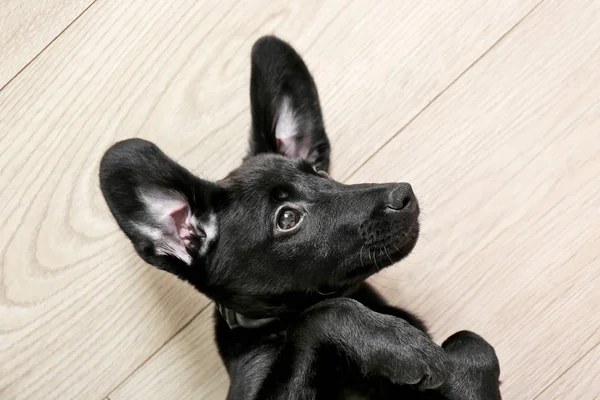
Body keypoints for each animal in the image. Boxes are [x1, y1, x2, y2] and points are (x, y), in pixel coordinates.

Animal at [99, 36, 502, 398]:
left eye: (319, 172)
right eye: (287, 218)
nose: (405, 195)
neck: (275, 324)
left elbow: (470, 341)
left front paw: (463, 376)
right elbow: (324, 312)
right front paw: (401, 346)